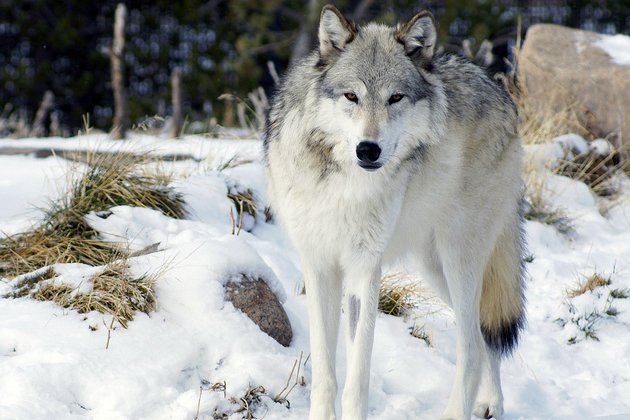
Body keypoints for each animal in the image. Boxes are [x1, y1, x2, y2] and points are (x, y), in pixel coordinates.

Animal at [262, 4, 528, 420]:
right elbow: (325, 374)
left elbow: (356, 379)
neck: (344, 185)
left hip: (458, 259)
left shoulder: (364, 269)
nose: (368, 149)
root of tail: (501, 93)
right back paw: (491, 403)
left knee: (471, 346)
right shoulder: (319, 266)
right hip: (435, 268)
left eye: (396, 98)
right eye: (351, 96)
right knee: (485, 336)